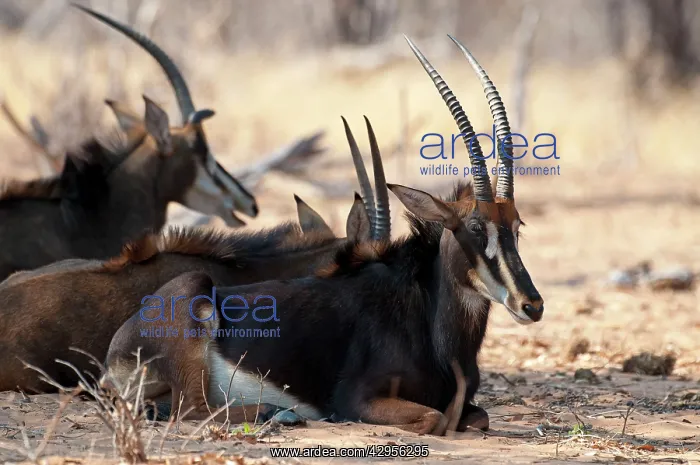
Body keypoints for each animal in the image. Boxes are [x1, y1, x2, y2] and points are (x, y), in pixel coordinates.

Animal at [102, 38, 544, 435]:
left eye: (517, 226)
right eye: (474, 227)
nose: (532, 305)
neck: (429, 319)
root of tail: (113, 354)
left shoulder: (467, 405)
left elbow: (478, 416)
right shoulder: (356, 399)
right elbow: (435, 417)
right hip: (194, 297)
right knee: (191, 410)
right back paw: (276, 413)